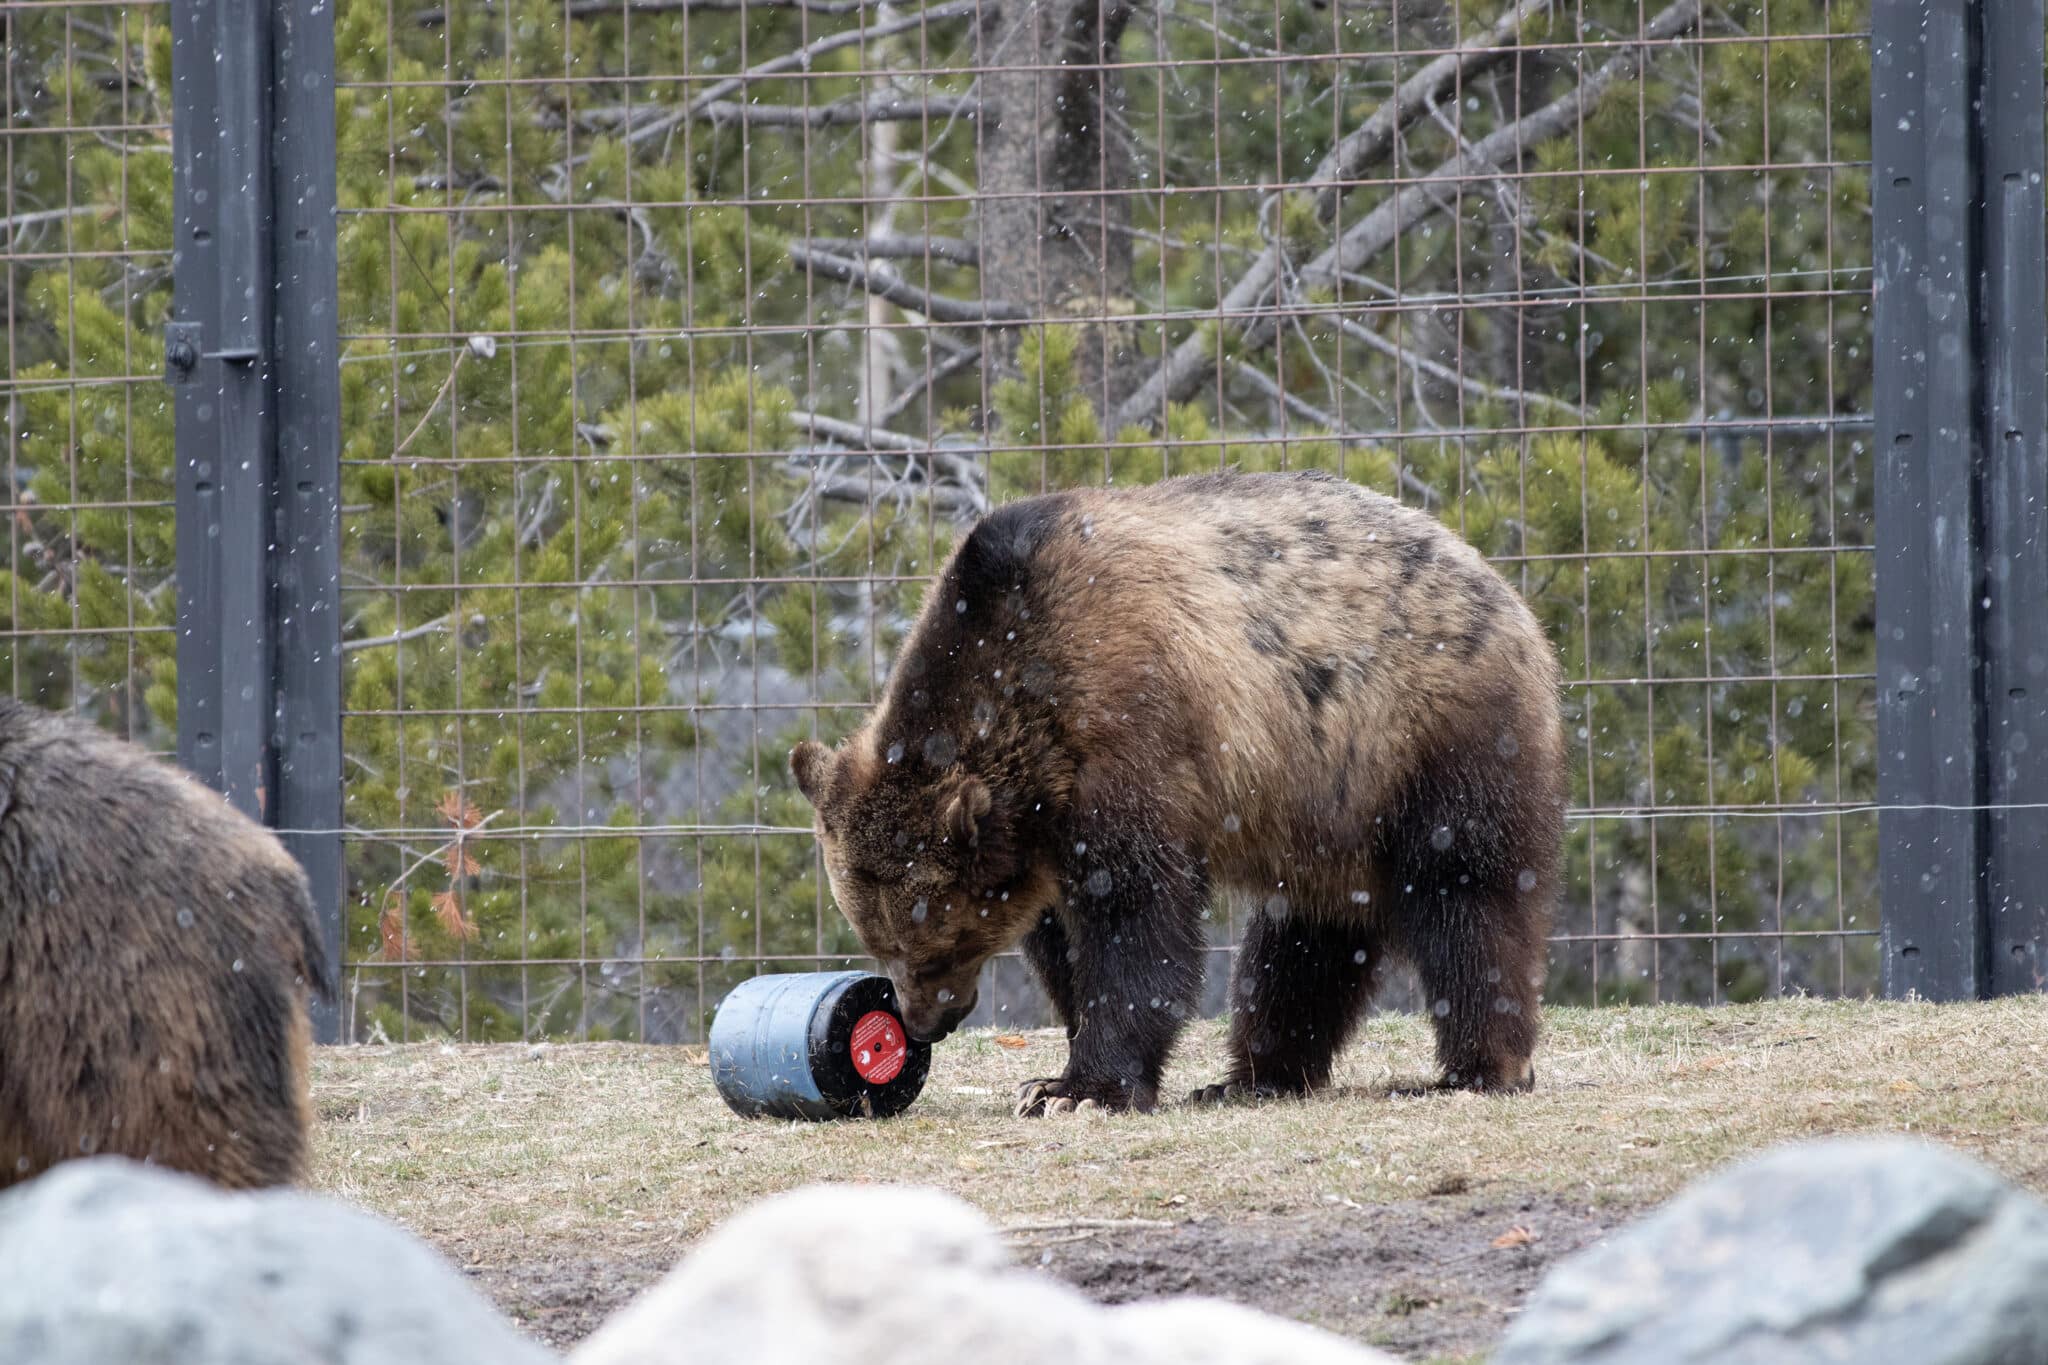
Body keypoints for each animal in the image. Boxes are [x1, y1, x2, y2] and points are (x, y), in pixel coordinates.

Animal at [790, 469, 1567, 1116]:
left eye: (934, 941)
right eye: (876, 937)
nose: (924, 1021)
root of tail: (1499, 583)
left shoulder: (1131, 734)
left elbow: (1136, 917)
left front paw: (1082, 1090)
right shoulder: (1046, 826)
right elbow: (1065, 942)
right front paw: (1054, 1073)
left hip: (1424, 737)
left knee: (1465, 895)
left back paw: (1477, 1069)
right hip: (1323, 809)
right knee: (1304, 940)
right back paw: (1253, 1076)